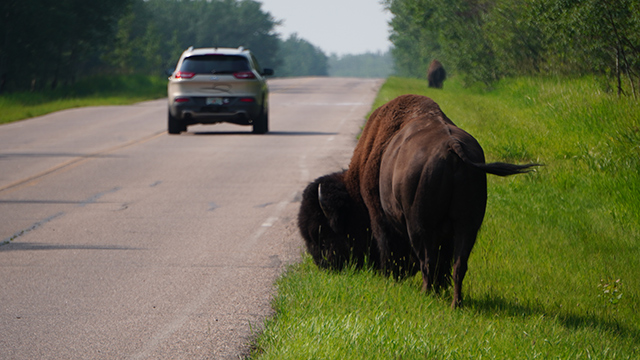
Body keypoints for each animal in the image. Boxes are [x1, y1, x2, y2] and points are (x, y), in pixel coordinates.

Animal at [298, 94, 536, 308]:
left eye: (322, 233)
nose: (323, 265)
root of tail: (452, 147)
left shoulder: (379, 217)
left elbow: (387, 247)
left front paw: (389, 277)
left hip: (421, 226)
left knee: (428, 260)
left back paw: (426, 293)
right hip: (468, 226)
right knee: (458, 264)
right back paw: (454, 302)